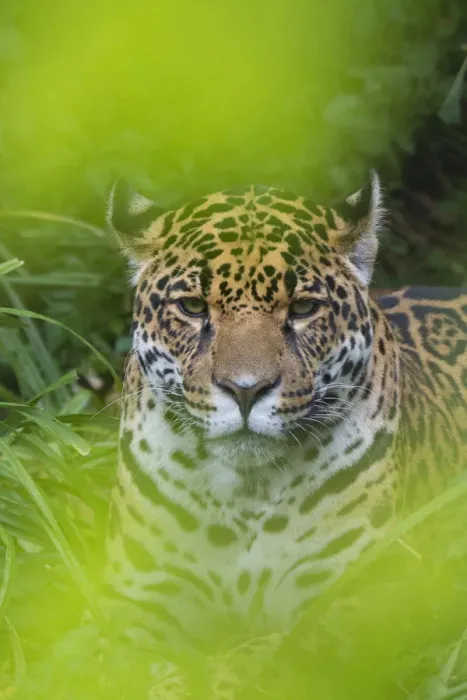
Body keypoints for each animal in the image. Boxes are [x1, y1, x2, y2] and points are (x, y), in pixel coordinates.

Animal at [103, 173, 466, 697]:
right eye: (192, 307)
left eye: (303, 308)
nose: (245, 389)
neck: (244, 492)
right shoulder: (139, 591)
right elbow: (110, 657)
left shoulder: (365, 591)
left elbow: (276, 656)